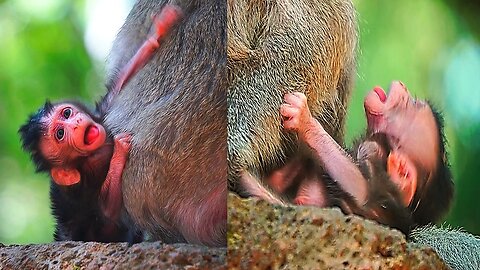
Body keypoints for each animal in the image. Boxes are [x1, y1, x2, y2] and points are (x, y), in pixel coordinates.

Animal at [17, 5, 181, 242]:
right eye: (60, 134)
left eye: (67, 113)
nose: (75, 123)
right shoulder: (80, 189)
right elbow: (108, 213)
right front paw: (119, 152)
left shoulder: (102, 113)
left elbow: (117, 89)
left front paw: (158, 30)